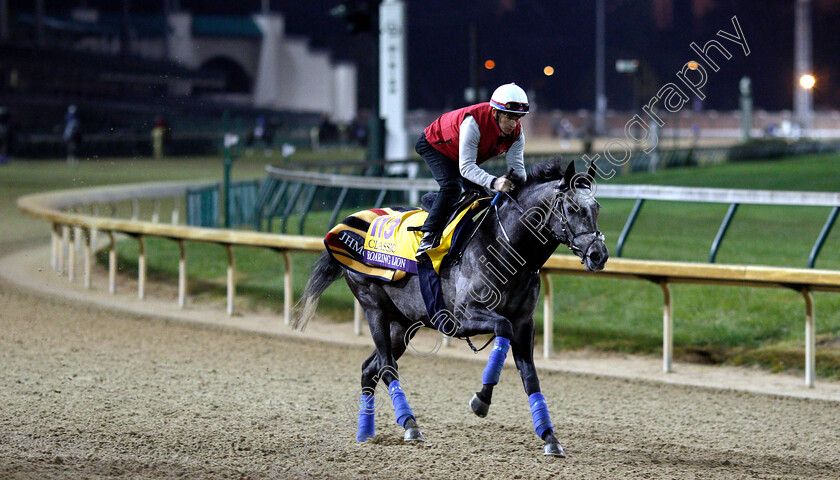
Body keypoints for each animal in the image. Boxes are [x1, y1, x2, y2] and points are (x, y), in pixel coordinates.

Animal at [292, 160, 608, 458]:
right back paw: (410, 426)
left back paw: (366, 432)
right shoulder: (462, 317)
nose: (599, 255)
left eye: (596, 207)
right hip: (373, 307)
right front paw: (481, 400)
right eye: (572, 207)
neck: (506, 250)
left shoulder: (524, 323)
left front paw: (550, 438)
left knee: (369, 368)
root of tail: (340, 228)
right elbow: (501, 327)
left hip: (402, 324)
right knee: (386, 367)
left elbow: (530, 376)